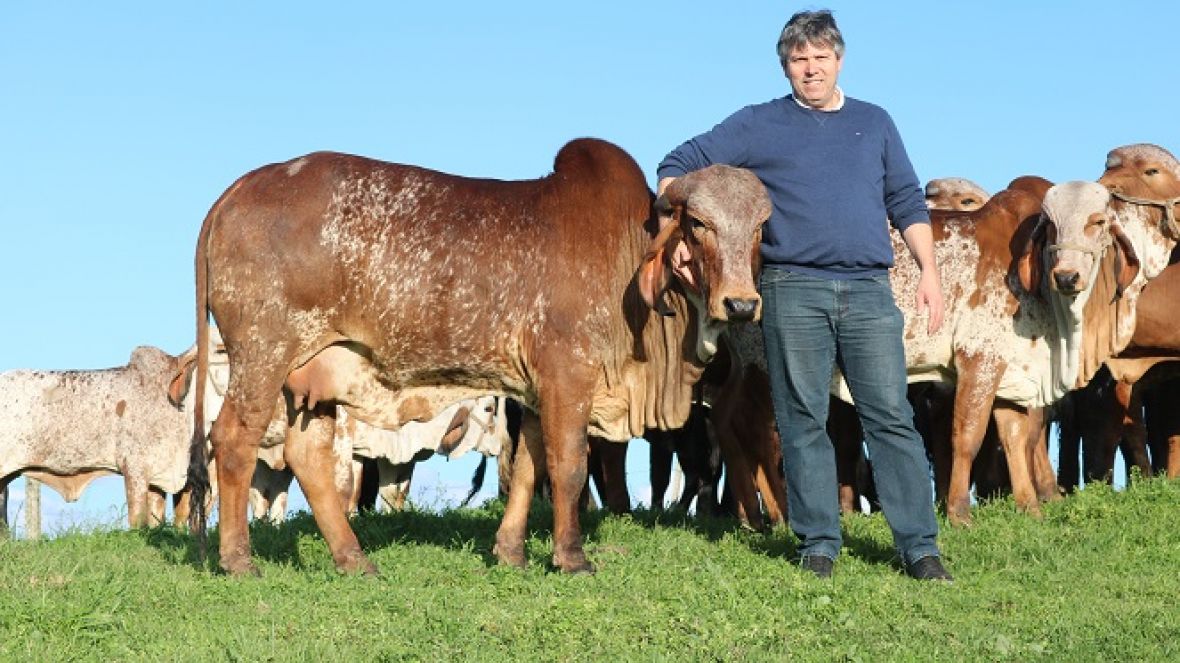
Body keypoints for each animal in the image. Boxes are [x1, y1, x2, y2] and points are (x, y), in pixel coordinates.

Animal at [188, 138, 771, 576]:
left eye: (760, 226)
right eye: (699, 224)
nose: (742, 304)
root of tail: (241, 188)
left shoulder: (533, 392)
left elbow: (531, 468)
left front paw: (510, 552)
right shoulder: (568, 376)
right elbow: (568, 468)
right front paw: (571, 557)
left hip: (315, 376)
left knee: (307, 456)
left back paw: (354, 560)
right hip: (263, 355)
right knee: (234, 440)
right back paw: (239, 561)